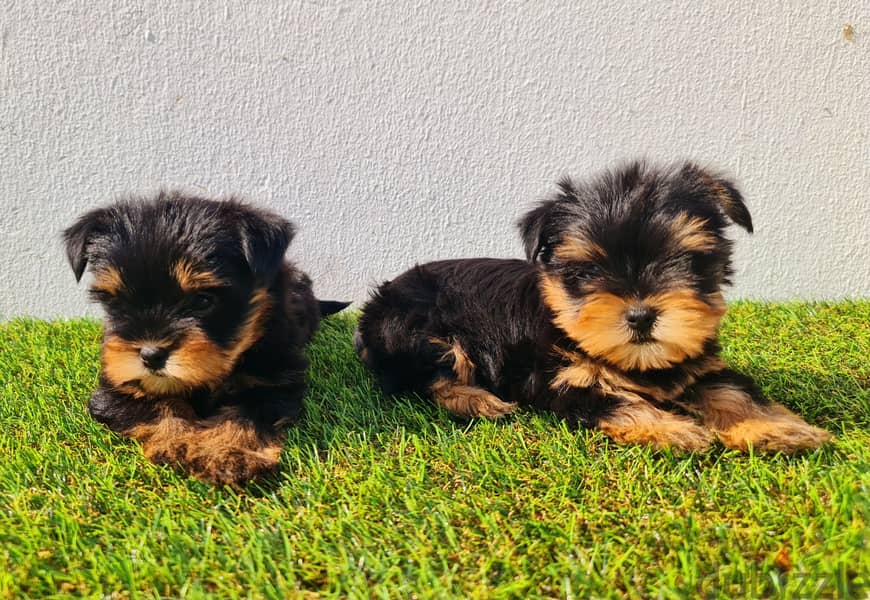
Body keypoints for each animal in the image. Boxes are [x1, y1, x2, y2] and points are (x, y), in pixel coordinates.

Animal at [65, 193, 348, 488]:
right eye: (116, 303)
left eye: (203, 301)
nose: (151, 355)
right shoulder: (117, 386)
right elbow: (164, 405)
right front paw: (181, 443)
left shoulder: (273, 383)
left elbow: (243, 415)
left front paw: (230, 454)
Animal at [358, 162, 836, 452]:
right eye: (587, 271)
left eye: (684, 260)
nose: (641, 315)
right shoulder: (561, 378)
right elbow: (614, 399)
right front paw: (673, 428)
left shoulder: (699, 364)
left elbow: (733, 391)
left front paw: (776, 427)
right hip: (418, 328)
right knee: (423, 378)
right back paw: (477, 400)